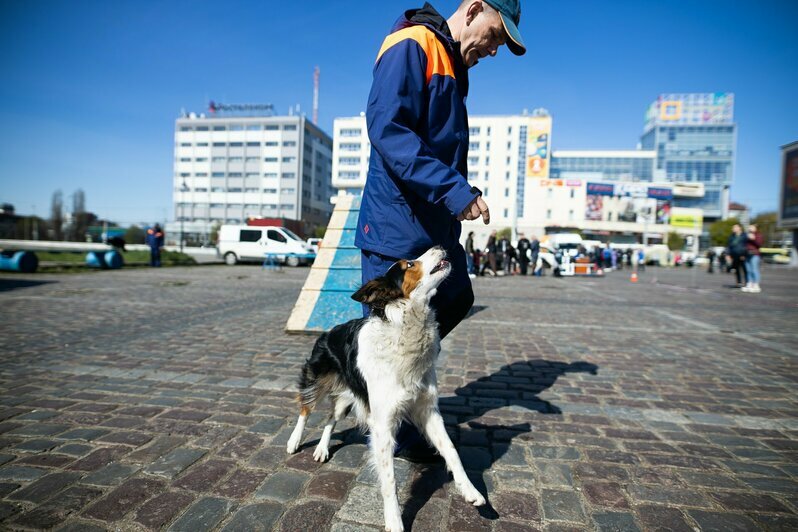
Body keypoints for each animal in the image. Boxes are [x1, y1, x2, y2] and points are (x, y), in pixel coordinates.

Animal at [288, 246, 488, 532]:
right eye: (409, 264)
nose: (440, 246)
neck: (407, 329)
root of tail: (329, 331)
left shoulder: (428, 410)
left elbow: (451, 450)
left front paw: (471, 491)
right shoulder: (383, 424)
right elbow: (390, 479)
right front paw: (394, 520)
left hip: (349, 396)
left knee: (330, 417)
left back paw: (322, 449)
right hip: (317, 381)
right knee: (306, 408)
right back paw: (294, 441)